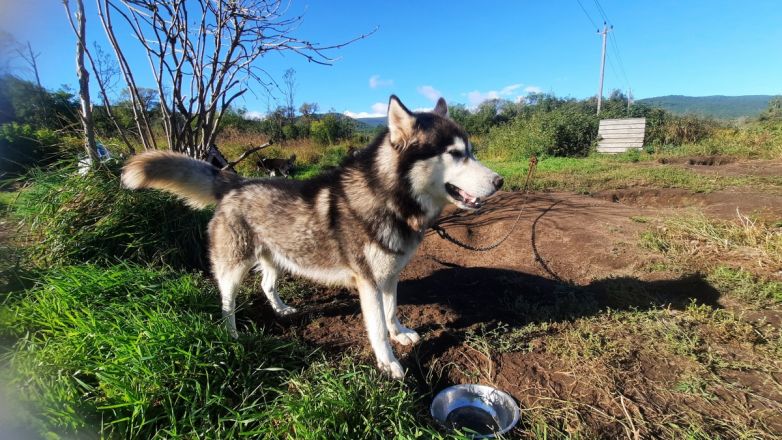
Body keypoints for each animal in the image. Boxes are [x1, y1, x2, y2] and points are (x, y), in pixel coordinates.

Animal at [121, 96, 502, 378]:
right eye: (455, 154)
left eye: (471, 151)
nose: (499, 182)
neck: (390, 198)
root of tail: (235, 182)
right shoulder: (368, 281)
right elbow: (377, 326)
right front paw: (389, 362)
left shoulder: (389, 274)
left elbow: (392, 310)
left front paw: (400, 333)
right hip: (233, 266)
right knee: (227, 303)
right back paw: (233, 336)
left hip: (278, 257)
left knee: (267, 285)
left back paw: (280, 308)